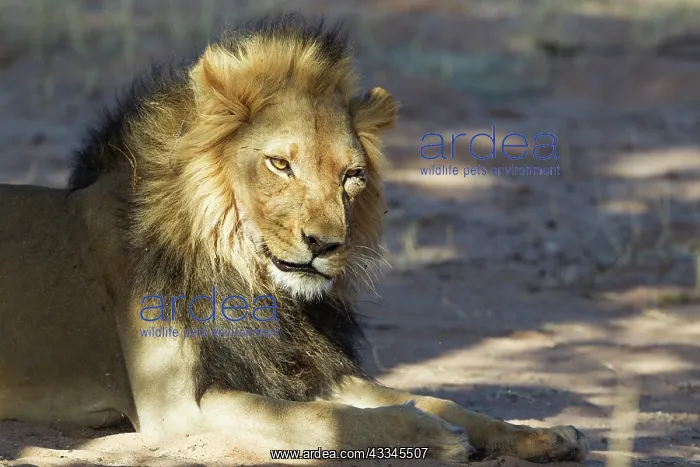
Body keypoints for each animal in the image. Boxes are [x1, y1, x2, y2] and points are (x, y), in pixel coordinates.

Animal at [0, 14, 589, 463]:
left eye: (352, 176)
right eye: (280, 164)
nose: (325, 245)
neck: (247, 275)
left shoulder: (305, 366)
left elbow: (428, 397)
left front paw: (540, 434)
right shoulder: (174, 406)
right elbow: (316, 418)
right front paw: (425, 436)